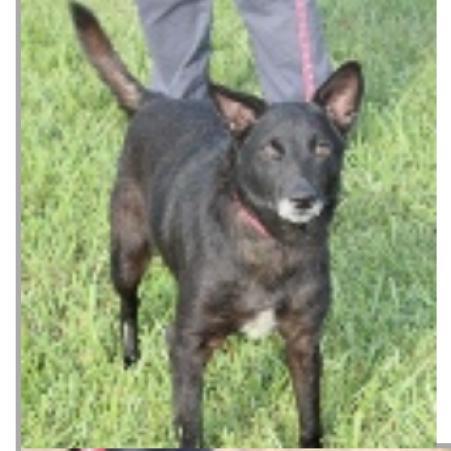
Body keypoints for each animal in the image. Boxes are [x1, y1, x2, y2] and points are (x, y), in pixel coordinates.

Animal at [70, 2, 366, 448]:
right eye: (271, 151)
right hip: (127, 252)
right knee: (128, 305)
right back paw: (130, 358)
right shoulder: (186, 343)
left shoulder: (304, 341)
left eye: (322, 148)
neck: (273, 242)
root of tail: (156, 101)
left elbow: (310, 418)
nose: (303, 199)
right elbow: (190, 421)